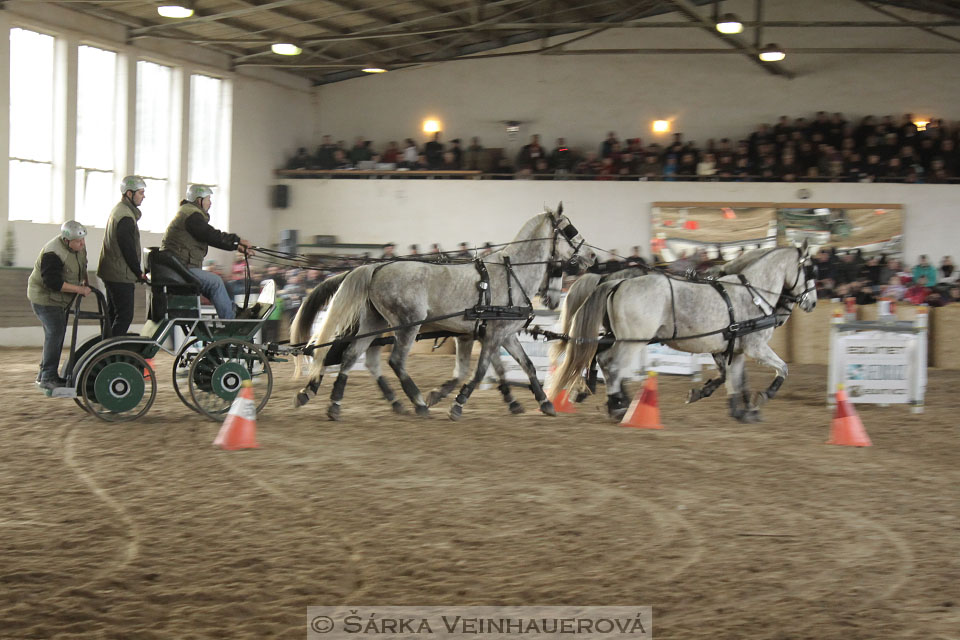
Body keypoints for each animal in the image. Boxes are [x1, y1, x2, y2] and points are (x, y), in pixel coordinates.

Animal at [296, 205, 588, 422]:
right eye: (570, 230)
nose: (589, 258)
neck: (511, 275)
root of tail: (377, 268)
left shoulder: (498, 334)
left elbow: (522, 366)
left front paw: (542, 402)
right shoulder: (493, 334)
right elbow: (481, 370)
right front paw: (457, 403)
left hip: (373, 322)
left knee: (351, 355)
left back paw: (335, 403)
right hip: (407, 324)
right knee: (394, 361)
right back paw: (417, 402)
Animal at [552, 244, 812, 420]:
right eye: (810, 272)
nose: (810, 303)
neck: (750, 293)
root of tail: (615, 282)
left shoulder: (731, 347)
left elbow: (733, 377)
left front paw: (739, 408)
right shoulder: (754, 346)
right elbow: (781, 369)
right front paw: (759, 399)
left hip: (620, 337)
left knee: (598, 356)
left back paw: (593, 392)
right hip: (632, 340)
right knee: (610, 363)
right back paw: (617, 405)